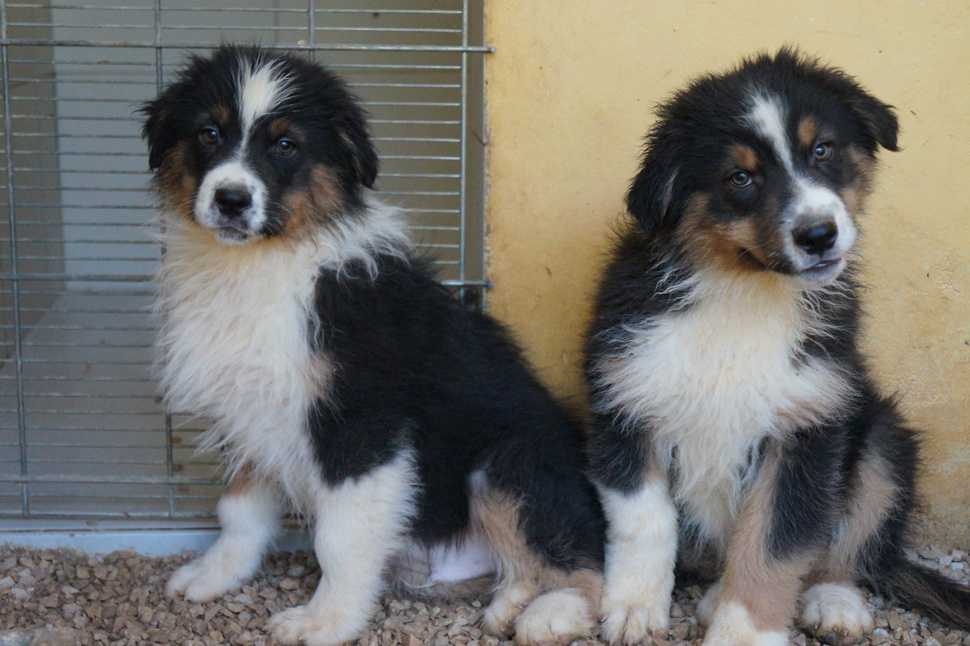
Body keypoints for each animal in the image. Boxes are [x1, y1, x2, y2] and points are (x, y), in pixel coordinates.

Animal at [142, 45, 604, 646]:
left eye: (286, 145)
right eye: (208, 133)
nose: (231, 200)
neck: (260, 265)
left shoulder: (363, 426)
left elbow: (338, 540)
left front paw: (323, 622)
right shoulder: (247, 409)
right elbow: (239, 511)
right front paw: (215, 574)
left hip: (506, 461)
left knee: (588, 564)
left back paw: (551, 613)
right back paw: (510, 602)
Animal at [584, 49, 968, 646]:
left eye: (822, 149)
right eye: (740, 177)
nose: (819, 235)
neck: (743, 294)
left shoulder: (807, 428)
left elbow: (772, 546)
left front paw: (741, 632)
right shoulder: (625, 403)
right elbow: (643, 521)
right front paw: (632, 609)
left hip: (882, 437)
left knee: (850, 550)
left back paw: (834, 603)